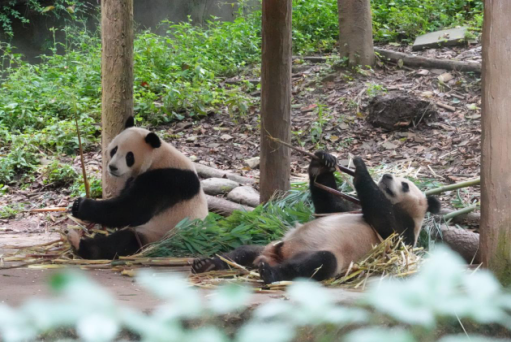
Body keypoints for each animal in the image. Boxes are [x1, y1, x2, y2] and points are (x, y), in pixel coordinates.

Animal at [67, 117, 209, 260]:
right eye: (114, 150)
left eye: (129, 156)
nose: (113, 167)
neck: (157, 157)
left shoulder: (166, 180)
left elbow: (132, 209)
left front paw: (80, 205)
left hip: (157, 232)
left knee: (124, 242)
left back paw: (79, 244)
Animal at [192, 152, 440, 284]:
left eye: (405, 184)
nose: (387, 175)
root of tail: (275, 257)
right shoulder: (346, 208)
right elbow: (327, 207)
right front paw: (323, 162)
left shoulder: (404, 232)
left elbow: (386, 223)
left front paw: (360, 168)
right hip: (272, 245)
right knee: (244, 251)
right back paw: (209, 263)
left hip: (328, 255)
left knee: (316, 264)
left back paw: (270, 273)